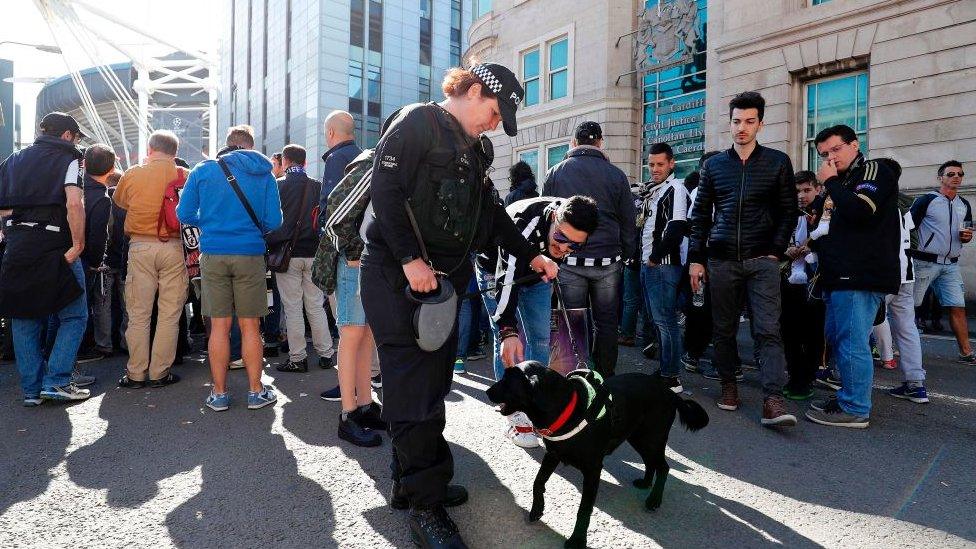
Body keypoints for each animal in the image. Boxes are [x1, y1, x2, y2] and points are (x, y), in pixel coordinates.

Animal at [488, 362, 708, 544]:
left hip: (651, 439)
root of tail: (670, 393)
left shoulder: (593, 470)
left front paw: (577, 540)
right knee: (651, 463)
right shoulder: (552, 455)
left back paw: (654, 500)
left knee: (663, 467)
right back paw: (646, 483)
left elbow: (584, 509)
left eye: (507, 381)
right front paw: (537, 509)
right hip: (638, 438)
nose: (488, 391)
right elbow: (537, 482)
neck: (567, 409)